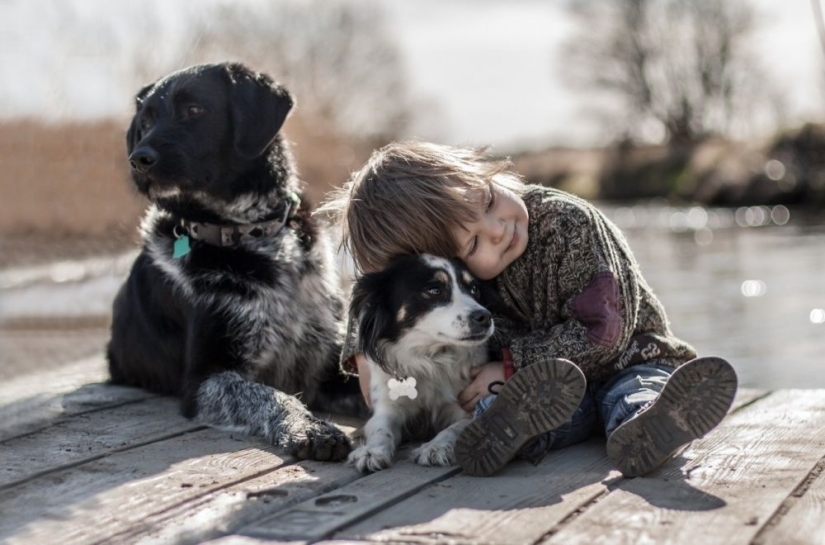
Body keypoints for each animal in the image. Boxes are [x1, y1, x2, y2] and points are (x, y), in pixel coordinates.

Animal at [106, 65, 364, 464]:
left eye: (194, 110)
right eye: (145, 121)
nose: (138, 158)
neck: (253, 235)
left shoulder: (325, 363)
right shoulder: (205, 378)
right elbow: (271, 396)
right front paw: (310, 429)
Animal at [346, 255, 492, 472]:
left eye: (474, 289)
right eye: (434, 290)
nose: (485, 317)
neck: (429, 359)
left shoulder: (466, 408)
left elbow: (454, 429)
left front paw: (435, 447)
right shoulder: (387, 407)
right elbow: (381, 429)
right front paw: (371, 451)